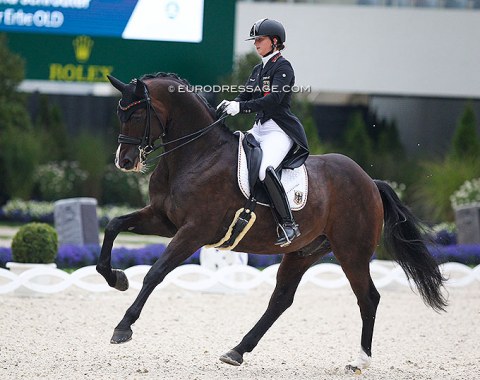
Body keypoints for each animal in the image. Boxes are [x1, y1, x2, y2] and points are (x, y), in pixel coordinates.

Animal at [95, 72, 448, 374]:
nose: (125, 161)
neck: (197, 155)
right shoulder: (163, 219)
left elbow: (155, 273)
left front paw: (123, 327)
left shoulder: (194, 231)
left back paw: (359, 361)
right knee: (281, 299)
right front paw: (117, 278)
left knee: (368, 298)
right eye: (119, 113)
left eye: (136, 115)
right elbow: (113, 225)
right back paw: (237, 351)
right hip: (304, 252)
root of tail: (370, 182)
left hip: (352, 252)